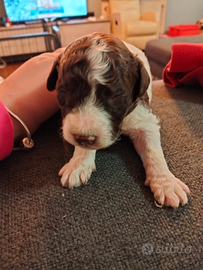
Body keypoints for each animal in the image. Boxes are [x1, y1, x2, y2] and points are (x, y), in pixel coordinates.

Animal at [46, 32, 190, 209]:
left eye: (115, 97)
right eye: (64, 92)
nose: (84, 137)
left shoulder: (144, 120)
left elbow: (153, 151)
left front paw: (166, 183)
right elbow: (83, 146)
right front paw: (78, 164)